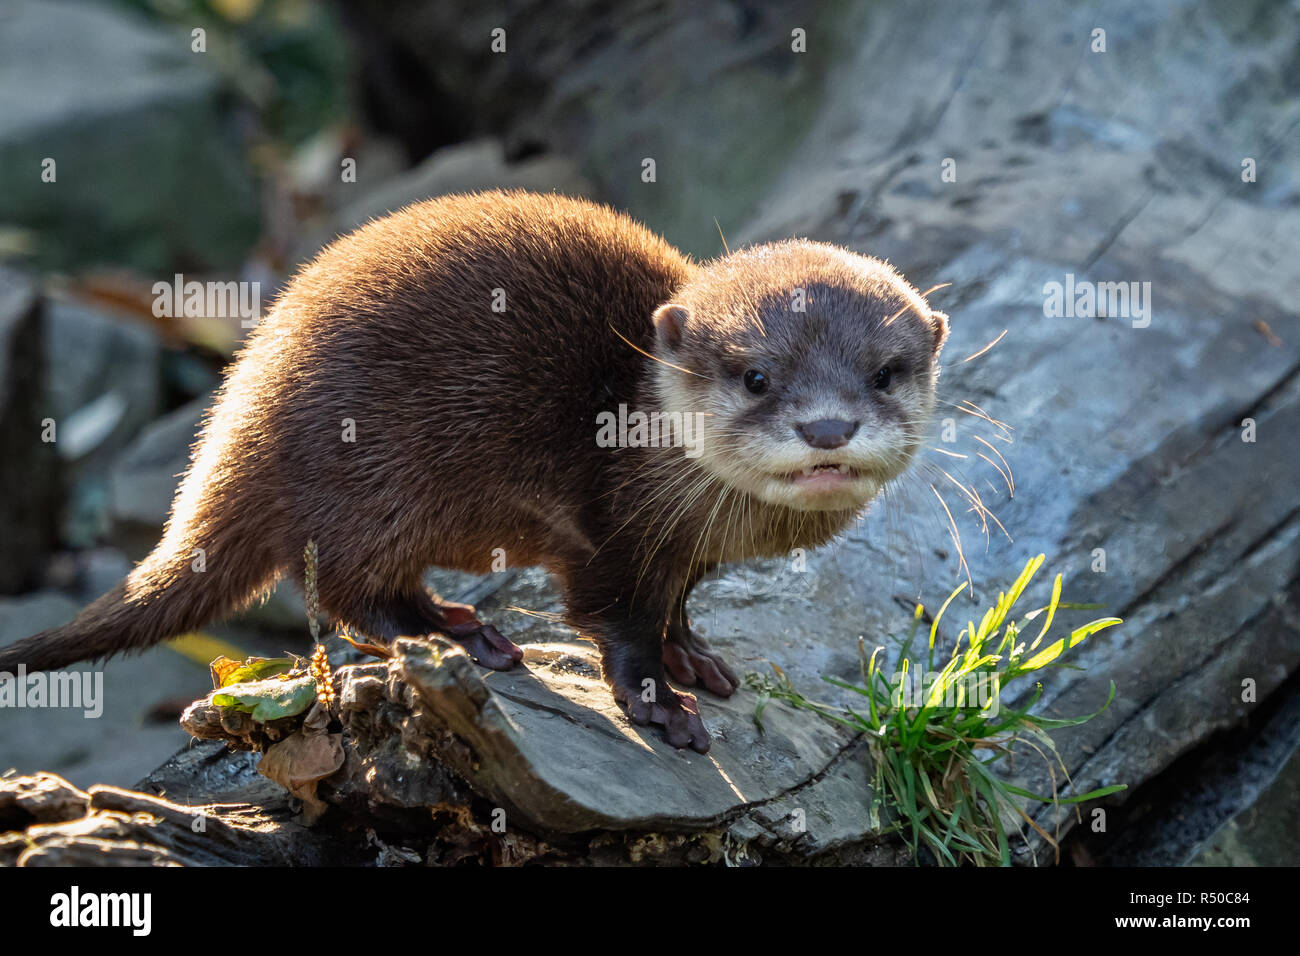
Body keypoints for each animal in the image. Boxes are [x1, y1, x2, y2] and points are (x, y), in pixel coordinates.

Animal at [0, 190, 948, 752]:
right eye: (755, 376)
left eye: (885, 373)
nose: (827, 424)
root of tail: (237, 418)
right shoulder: (606, 535)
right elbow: (614, 622)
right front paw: (656, 702)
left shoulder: (681, 556)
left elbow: (676, 609)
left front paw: (697, 658)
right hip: (367, 482)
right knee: (345, 592)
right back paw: (464, 635)